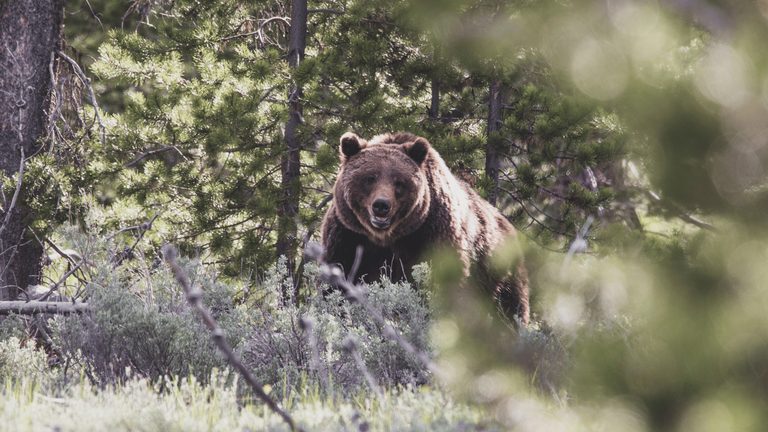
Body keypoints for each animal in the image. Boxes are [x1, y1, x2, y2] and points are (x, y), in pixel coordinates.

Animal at [320, 132, 529, 325]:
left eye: (399, 182)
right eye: (370, 177)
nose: (381, 205)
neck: (387, 238)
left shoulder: (432, 232)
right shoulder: (348, 235)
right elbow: (337, 282)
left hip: (499, 276)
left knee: (509, 311)